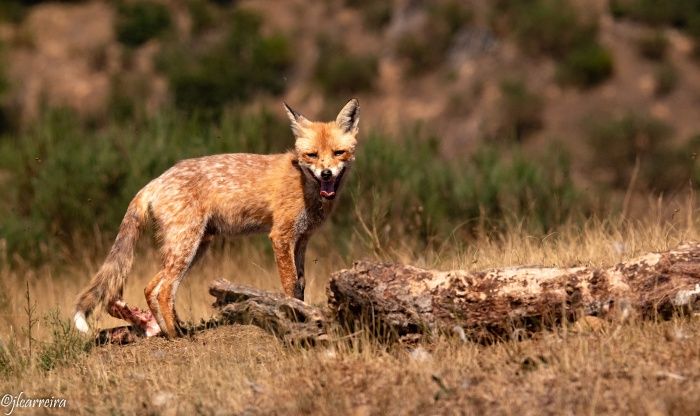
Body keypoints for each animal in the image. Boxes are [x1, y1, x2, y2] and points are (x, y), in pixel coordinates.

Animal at [73, 98, 360, 338]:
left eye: (338, 153)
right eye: (312, 155)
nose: (326, 173)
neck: (305, 184)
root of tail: (155, 181)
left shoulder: (301, 239)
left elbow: (300, 285)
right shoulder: (281, 236)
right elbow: (290, 285)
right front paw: (296, 318)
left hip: (195, 247)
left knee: (150, 287)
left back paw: (167, 330)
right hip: (187, 246)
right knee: (164, 290)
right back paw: (177, 337)